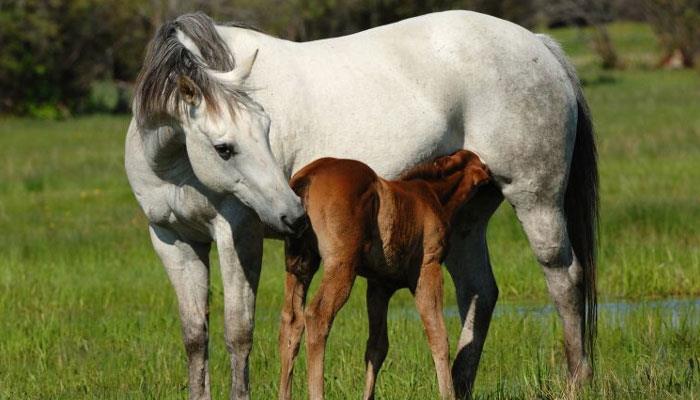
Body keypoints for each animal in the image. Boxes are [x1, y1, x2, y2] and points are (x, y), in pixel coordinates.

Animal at [276, 150, 490, 400]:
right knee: (317, 316)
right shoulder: (429, 268)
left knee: (292, 321)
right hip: (341, 265)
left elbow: (377, 347)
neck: (432, 195)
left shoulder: (379, 286)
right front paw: (448, 394)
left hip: (300, 266)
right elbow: (438, 335)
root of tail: (308, 176)